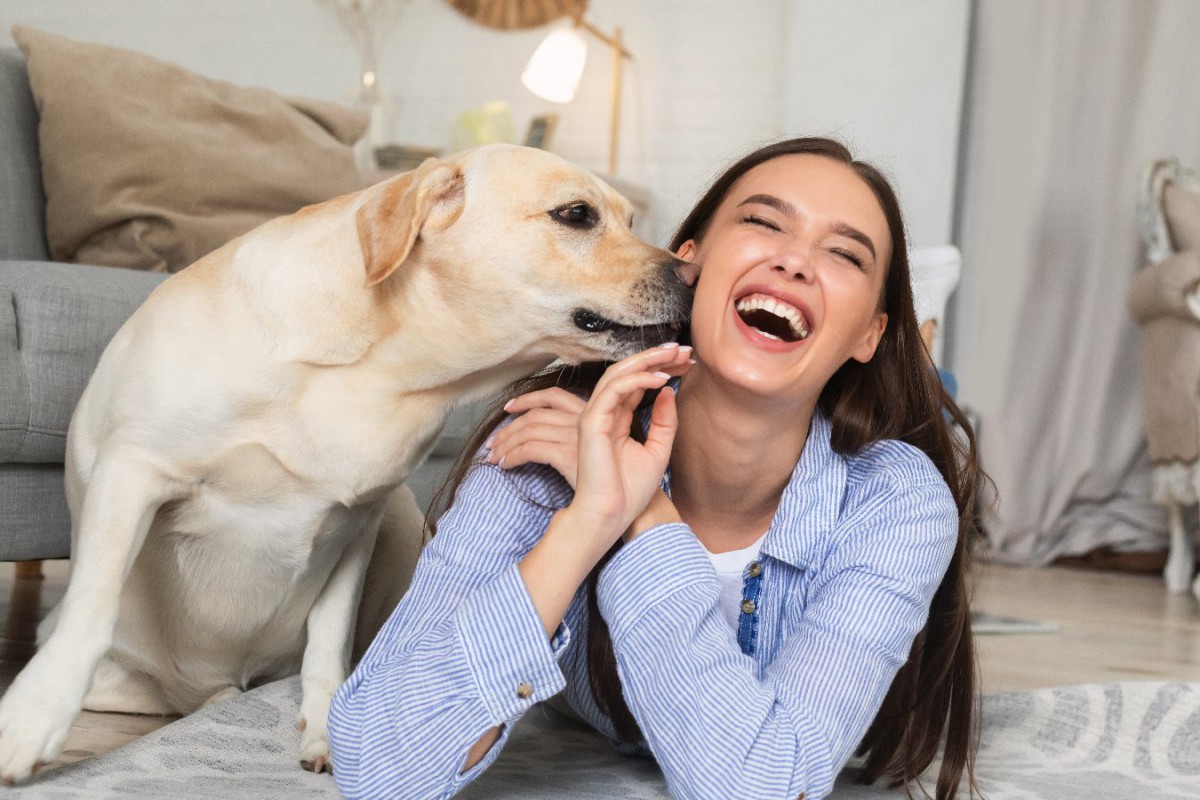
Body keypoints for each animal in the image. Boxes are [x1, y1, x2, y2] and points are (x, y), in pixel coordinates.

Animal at [0, 143, 700, 782]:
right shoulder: (133, 471)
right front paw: (32, 720)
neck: (379, 368)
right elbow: (92, 607)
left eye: (630, 219)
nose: (692, 277)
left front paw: (324, 731)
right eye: (576, 214)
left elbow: (329, 640)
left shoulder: (358, 519)